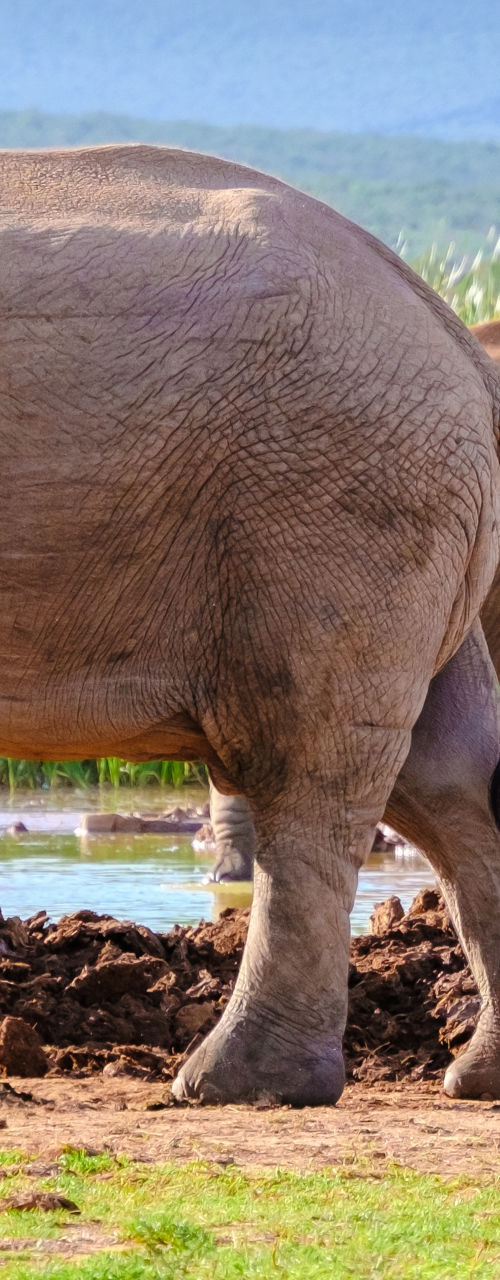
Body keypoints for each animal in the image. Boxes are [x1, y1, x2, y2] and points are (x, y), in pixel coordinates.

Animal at [1, 144, 499, 1107]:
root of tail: (437, 309)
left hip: (327, 510)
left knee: (312, 765)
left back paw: (232, 1084)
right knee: (450, 774)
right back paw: (478, 1075)